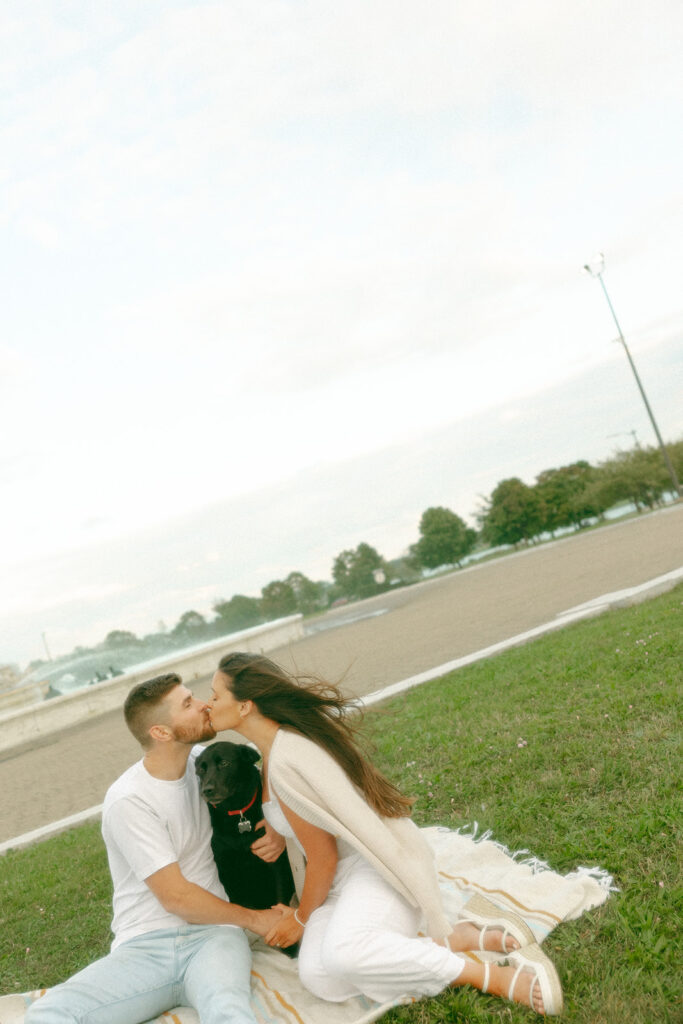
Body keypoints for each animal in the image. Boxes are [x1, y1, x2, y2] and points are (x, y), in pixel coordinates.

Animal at [194, 745, 296, 950]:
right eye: (201, 769)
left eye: (224, 763)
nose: (206, 790)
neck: (237, 814)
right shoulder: (222, 866)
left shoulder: (275, 861)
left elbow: (281, 900)